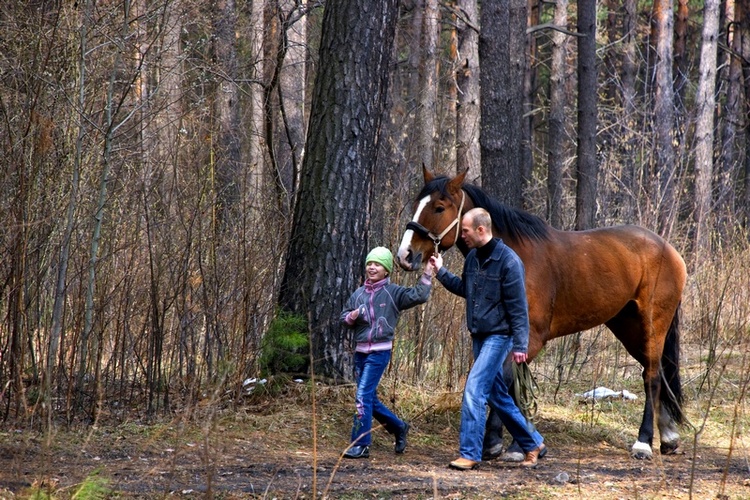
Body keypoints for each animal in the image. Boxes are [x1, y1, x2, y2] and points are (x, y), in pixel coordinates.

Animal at [400, 166, 688, 458]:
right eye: (416, 205)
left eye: (438, 207)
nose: (406, 255)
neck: (516, 257)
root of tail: (669, 249)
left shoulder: (531, 339)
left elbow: (507, 381)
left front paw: (501, 442)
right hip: (626, 325)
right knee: (657, 371)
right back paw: (668, 436)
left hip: (652, 324)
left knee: (652, 377)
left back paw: (644, 442)